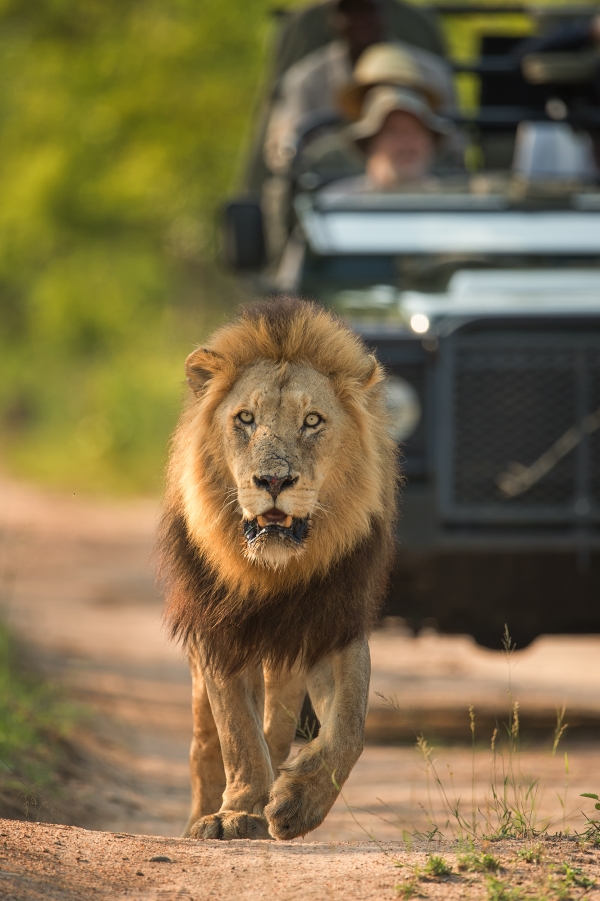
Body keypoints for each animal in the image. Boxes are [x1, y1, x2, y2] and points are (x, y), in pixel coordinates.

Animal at [158, 298, 398, 840]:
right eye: (245, 418)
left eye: (312, 420)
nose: (272, 480)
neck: (275, 572)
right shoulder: (219, 632)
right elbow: (237, 733)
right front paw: (238, 813)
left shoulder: (333, 622)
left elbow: (350, 725)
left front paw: (297, 802)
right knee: (206, 744)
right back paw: (202, 814)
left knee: (280, 724)